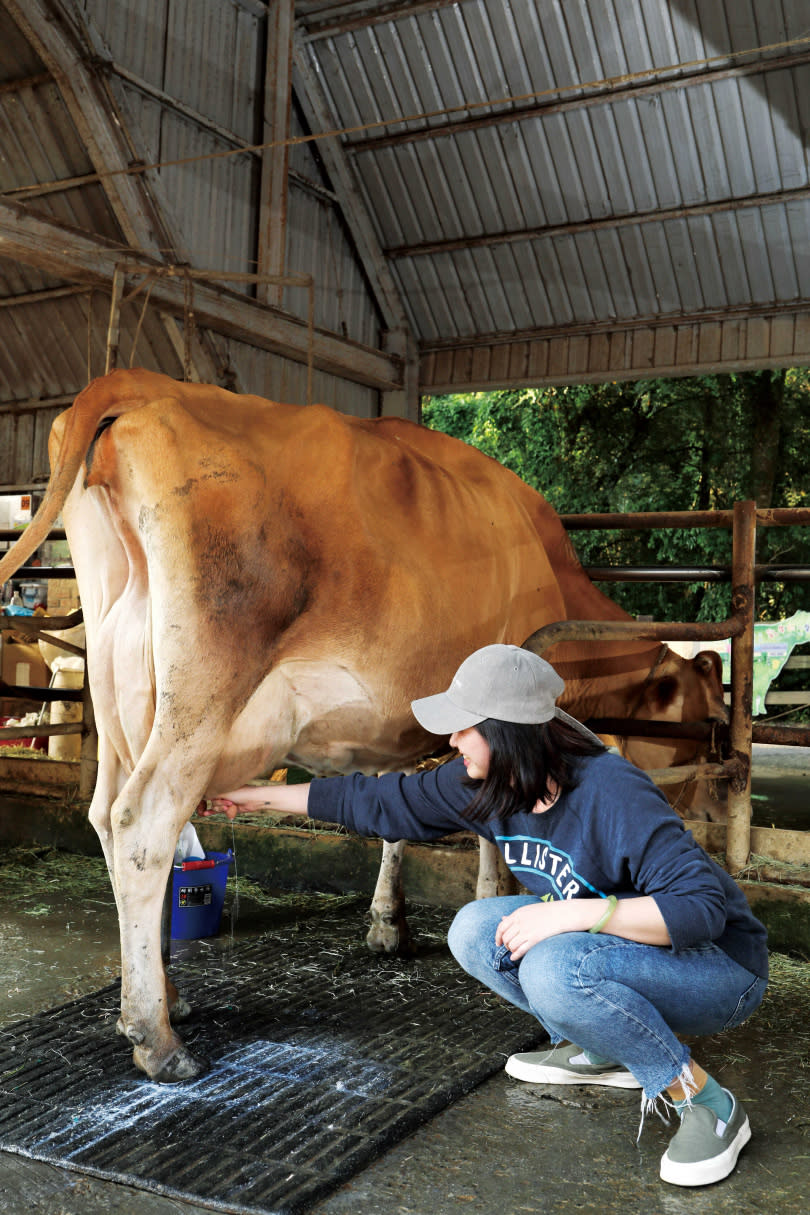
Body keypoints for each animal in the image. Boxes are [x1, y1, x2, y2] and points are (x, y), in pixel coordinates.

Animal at [0, 369, 723, 1083]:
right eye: (702, 715)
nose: (709, 810)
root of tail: (142, 383)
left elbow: (392, 812)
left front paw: (388, 924)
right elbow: (486, 823)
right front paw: (491, 902)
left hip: (121, 692)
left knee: (106, 817)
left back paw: (161, 993)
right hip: (201, 691)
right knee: (143, 824)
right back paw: (157, 1034)